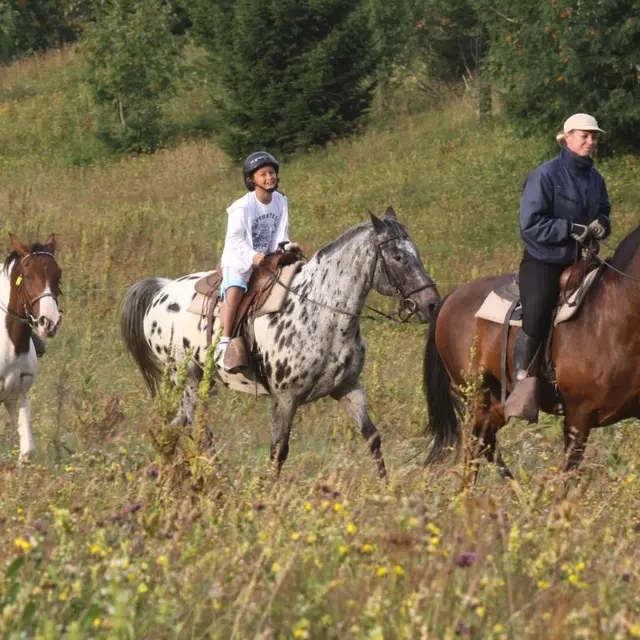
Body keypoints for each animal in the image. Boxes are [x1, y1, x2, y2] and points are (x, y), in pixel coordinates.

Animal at [121, 208, 440, 476]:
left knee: (173, 427)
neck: (320, 311)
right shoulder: (285, 398)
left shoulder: (348, 387)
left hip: (200, 382)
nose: (432, 304)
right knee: (199, 432)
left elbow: (372, 437)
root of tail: (162, 291)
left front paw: (385, 488)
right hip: (186, 378)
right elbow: (278, 451)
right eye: (398, 257)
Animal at [423, 225, 640, 478]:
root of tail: (451, 298)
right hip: (477, 400)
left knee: (487, 446)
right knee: (474, 453)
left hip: (494, 405)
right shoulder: (578, 418)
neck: (613, 316)